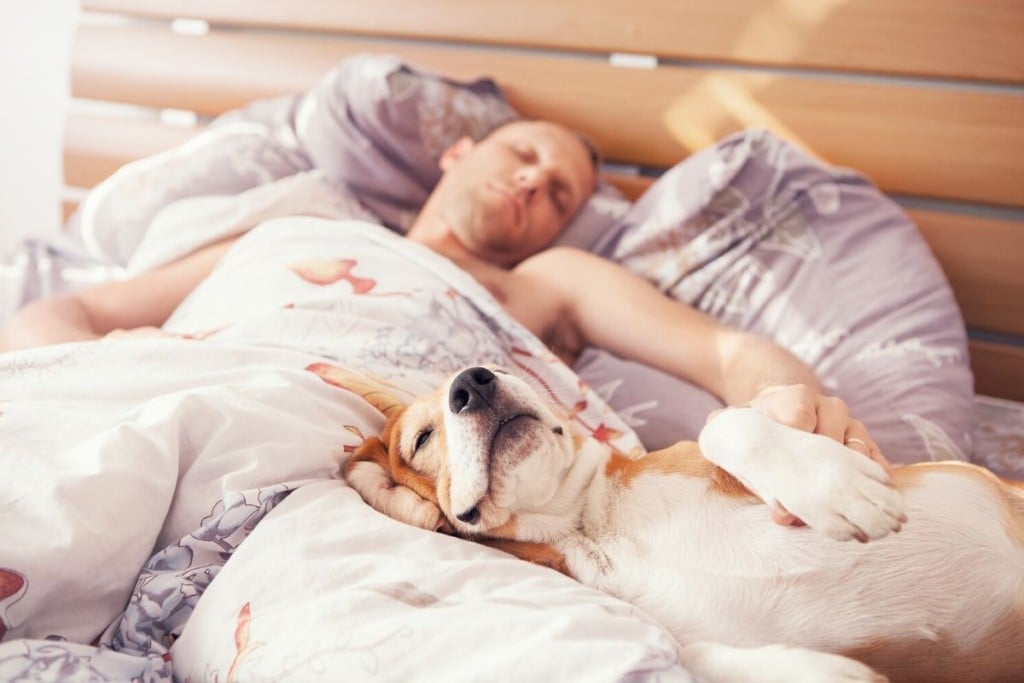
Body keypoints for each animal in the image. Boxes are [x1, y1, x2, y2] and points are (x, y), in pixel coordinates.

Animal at [339, 366, 1019, 679]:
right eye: (422, 437)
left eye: (501, 368)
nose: (473, 383)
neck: (594, 518)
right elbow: (690, 653)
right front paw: (821, 672)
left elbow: (727, 423)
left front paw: (834, 484)